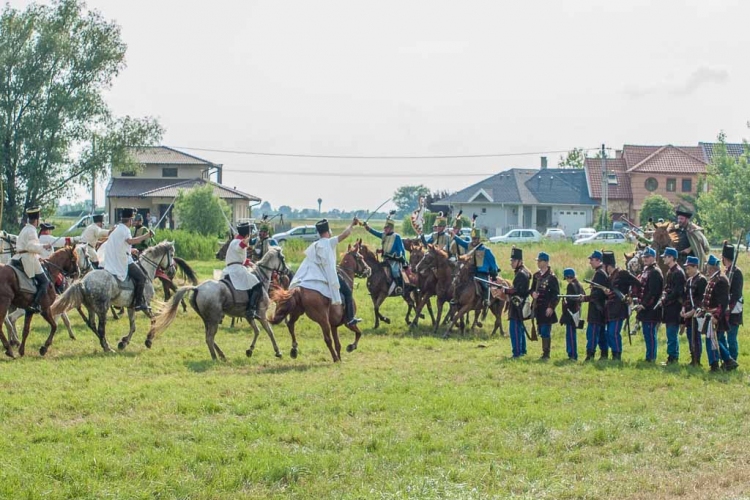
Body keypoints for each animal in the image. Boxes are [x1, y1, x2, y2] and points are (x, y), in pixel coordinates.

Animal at [147, 245, 290, 360]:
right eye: (283, 258)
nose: (287, 271)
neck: (260, 277)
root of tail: (197, 288)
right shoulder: (262, 314)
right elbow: (269, 332)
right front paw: (278, 352)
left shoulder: (249, 316)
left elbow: (257, 331)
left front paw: (250, 350)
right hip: (214, 319)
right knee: (210, 337)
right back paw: (215, 357)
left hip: (207, 319)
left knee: (208, 337)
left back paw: (220, 355)